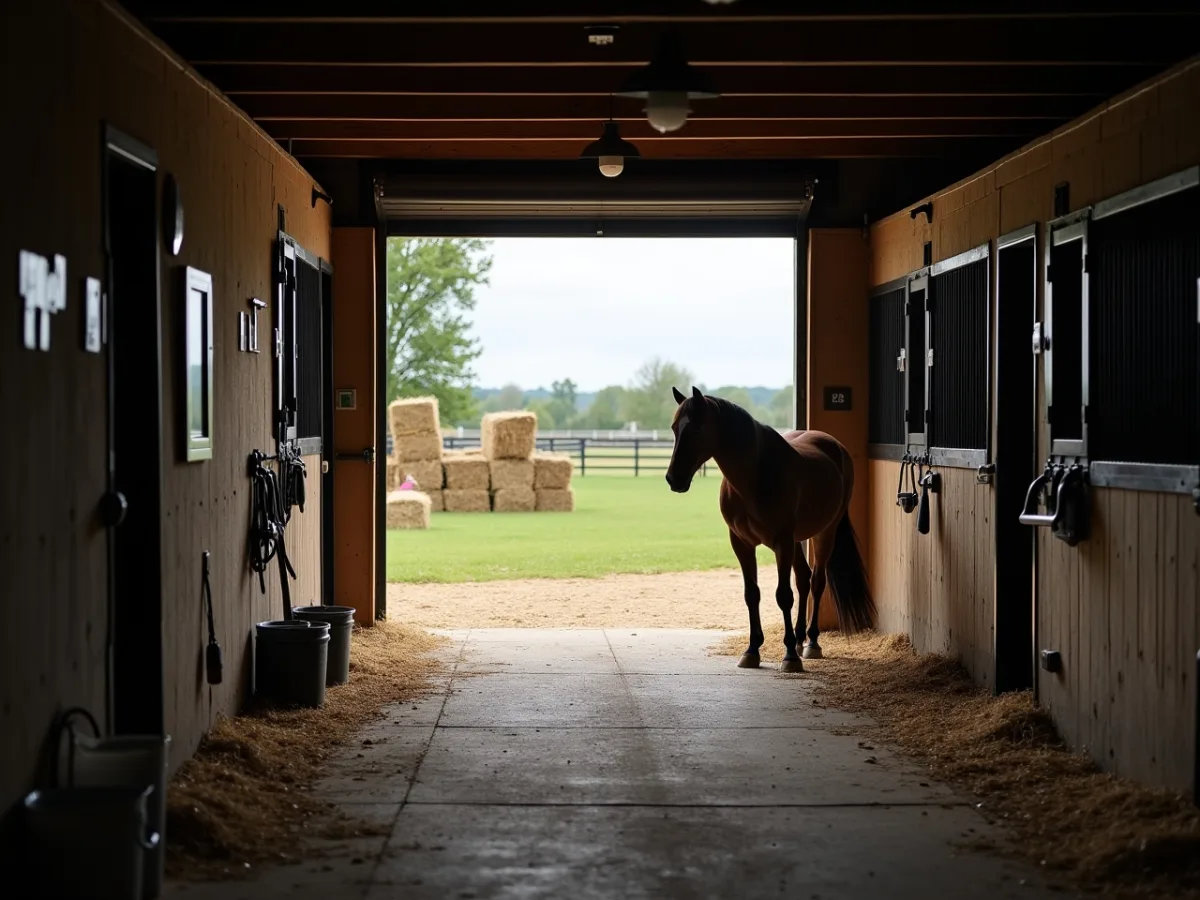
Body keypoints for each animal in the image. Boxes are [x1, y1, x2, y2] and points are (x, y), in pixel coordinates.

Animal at [664, 386, 875, 673]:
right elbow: (752, 594)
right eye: (675, 428)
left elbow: (783, 595)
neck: (755, 475)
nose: (673, 478)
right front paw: (752, 650)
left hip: (824, 533)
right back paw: (799, 638)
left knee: (817, 582)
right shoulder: (742, 543)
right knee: (804, 578)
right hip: (796, 541)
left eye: (697, 428)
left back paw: (810, 643)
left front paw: (789, 656)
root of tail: (835, 447)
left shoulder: (781, 542)